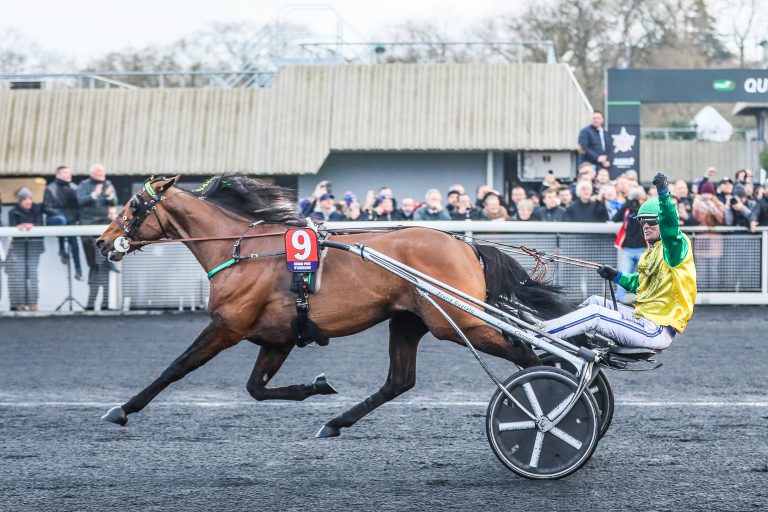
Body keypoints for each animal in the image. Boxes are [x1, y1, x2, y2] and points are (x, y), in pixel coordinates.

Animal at [96, 175, 572, 436]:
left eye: (134, 204)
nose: (102, 242)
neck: (244, 251)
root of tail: (465, 246)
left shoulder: (227, 326)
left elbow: (175, 368)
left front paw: (122, 409)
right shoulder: (278, 337)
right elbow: (256, 388)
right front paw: (317, 386)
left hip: (457, 321)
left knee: (524, 352)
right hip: (409, 321)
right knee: (399, 381)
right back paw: (336, 422)